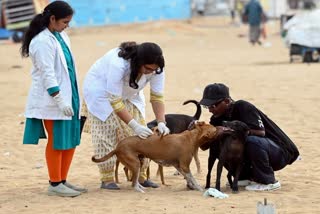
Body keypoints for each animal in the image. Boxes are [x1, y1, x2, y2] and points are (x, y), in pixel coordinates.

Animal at [91, 121, 219, 193]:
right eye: (215, 129)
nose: (221, 126)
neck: (192, 137)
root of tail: (117, 147)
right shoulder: (185, 166)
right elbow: (193, 178)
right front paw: (199, 188)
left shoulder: (179, 166)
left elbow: (188, 178)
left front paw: (192, 186)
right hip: (135, 164)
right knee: (133, 184)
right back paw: (139, 190)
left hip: (140, 162)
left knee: (135, 181)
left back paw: (142, 187)